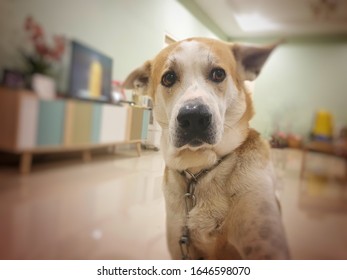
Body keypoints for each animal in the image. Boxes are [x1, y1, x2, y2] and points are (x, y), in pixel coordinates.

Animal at [123, 37, 290, 260]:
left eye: (218, 74)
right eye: (169, 78)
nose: (194, 117)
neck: (199, 170)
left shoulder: (265, 242)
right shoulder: (179, 243)